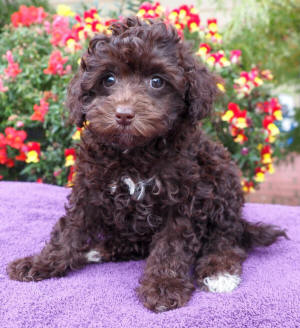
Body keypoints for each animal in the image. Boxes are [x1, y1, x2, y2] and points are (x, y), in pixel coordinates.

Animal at [7, 17, 288, 312]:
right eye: (108, 79)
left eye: (157, 81)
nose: (123, 115)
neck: (135, 152)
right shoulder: (89, 187)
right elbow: (69, 229)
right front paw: (40, 263)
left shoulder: (182, 200)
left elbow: (171, 246)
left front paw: (164, 286)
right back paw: (99, 250)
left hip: (221, 175)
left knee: (225, 236)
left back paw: (219, 270)